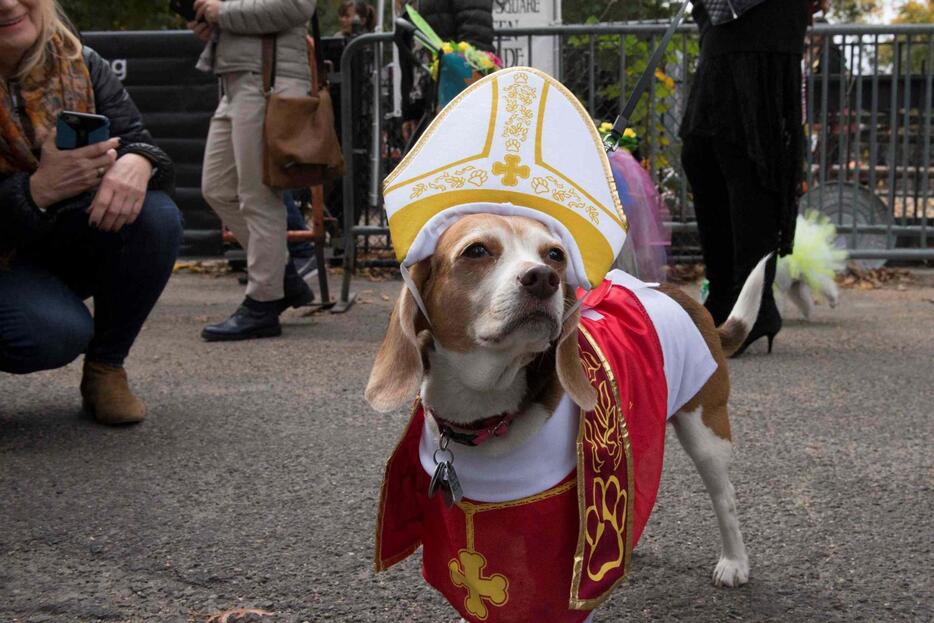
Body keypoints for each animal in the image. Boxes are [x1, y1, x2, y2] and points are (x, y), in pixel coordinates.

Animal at [368, 214, 768, 620]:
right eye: (476, 250)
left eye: (555, 255)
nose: (543, 278)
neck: (486, 414)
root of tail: (679, 294)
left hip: (706, 430)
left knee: (724, 496)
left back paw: (734, 563)